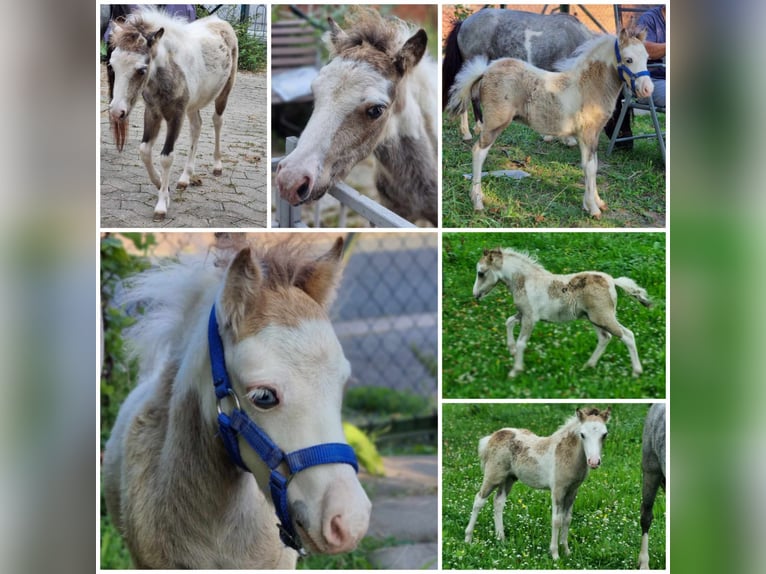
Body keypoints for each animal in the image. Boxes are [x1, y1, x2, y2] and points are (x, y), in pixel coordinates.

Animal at [108, 7, 238, 221]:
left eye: (141, 70)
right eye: (112, 65)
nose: (117, 112)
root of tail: (220, 21)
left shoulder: (176, 115)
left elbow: (166, 157)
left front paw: (161, 205)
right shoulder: (152, 112)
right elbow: (144, 151)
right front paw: (162, 185)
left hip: (224, 91)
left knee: (217, 121)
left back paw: (217, 165)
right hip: (193, 104)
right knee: (197, 126)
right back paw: (185, 178)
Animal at [446, 29, 653, 217]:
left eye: (647, 58)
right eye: (628, 60)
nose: (647, 89)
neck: (588, 86)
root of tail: (486, 70)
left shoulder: (592, 136)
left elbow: (593, 165)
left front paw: (597, 202)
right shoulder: (586, 134)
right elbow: (589, 167)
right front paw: (593, 209)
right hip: (495, 123)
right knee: (478, 152)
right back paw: (477, 201)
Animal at [464, 407, 611, 560]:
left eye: (604, 434)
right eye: (582, 435)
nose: (593, 462)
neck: (566, 454)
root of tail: (493, 436)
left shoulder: (572, 490)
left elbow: (567, 519)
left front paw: (566, 551)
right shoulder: (558, 490)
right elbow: (556, 520)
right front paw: (555, 555)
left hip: (508, 479)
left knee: (498, 502)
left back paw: (501, 539)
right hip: (493, 476)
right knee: (479, 500)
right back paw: (468, 539)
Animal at [472, 247, 652, 378]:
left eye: (481, 273)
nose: (475, 295)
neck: (525, 281)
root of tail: (612, 281)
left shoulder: (530, 318)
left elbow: (521, 342)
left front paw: (515, 371)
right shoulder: (522, 314)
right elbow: (508, 321)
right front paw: (511, 349)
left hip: (603, 318)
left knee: (627, 335)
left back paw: (636, 372)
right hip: (594, 318)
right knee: (605, 338)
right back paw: (588, 366)